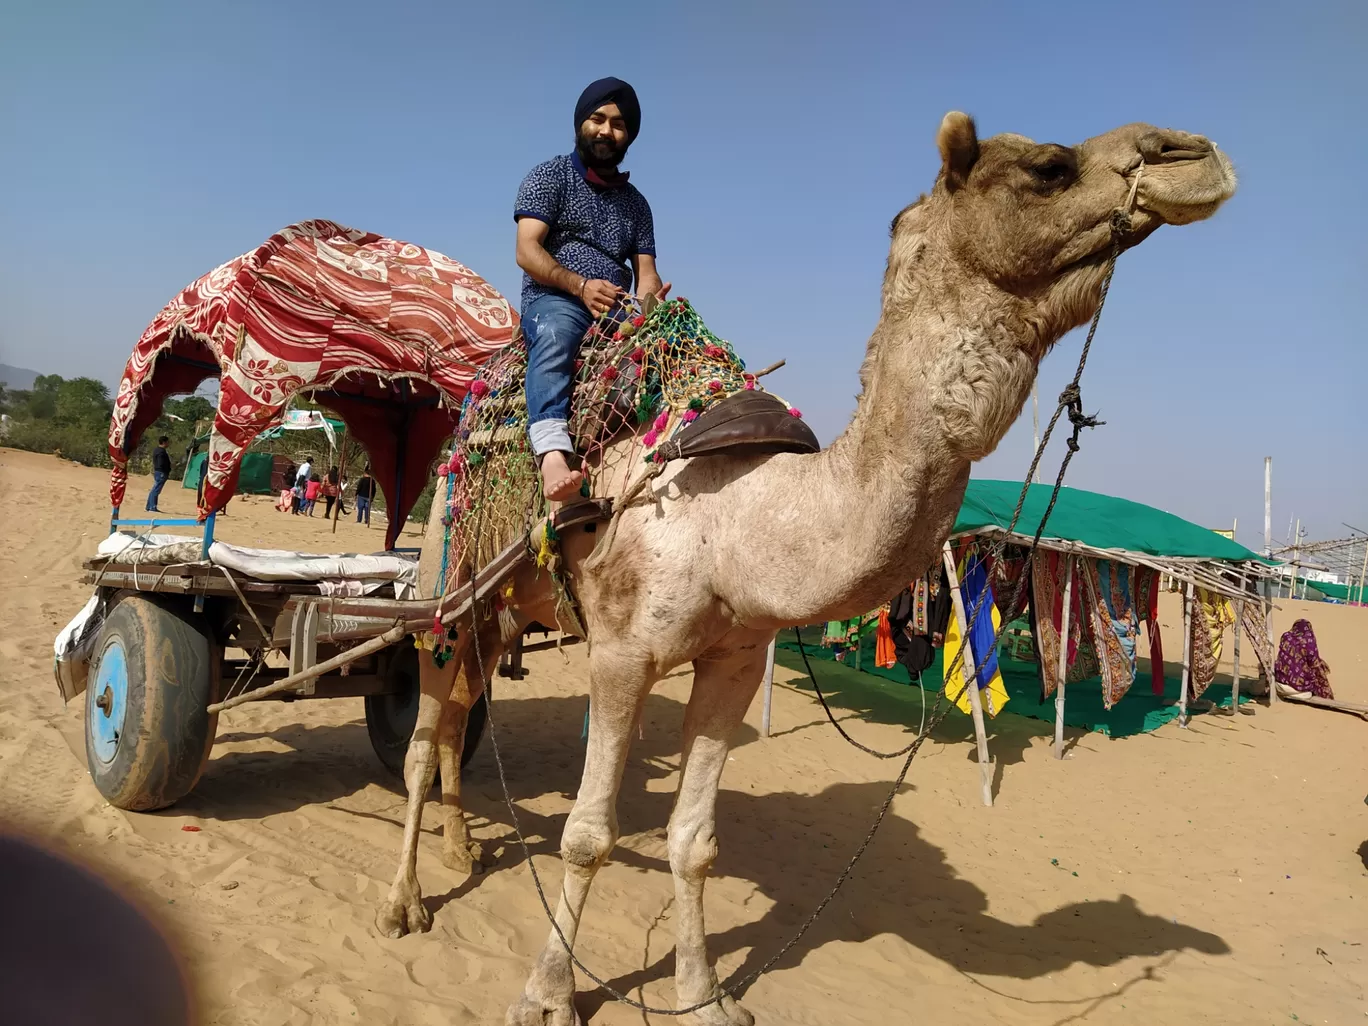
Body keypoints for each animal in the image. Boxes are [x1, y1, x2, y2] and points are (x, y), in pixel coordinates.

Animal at [369, 112, 1236, 1026]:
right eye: (1048, 166)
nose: (1193, 154)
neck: (741, 518)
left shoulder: (734, 659)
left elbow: (693, 843)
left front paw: (704, 996)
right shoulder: (622, 654)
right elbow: (587, 835)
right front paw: (546, 995)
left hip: (501, 605)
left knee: (462, 710)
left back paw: (462, 849)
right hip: (445, 570)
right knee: (426, 730)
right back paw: (404, 904)